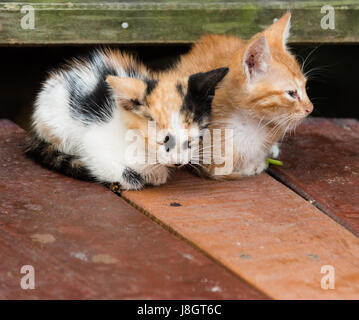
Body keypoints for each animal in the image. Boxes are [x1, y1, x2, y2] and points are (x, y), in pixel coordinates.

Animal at [26, 48, 228, 189]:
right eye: (164, 140)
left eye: (193, 140)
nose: (178, 162)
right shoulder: (93, 141)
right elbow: (101, 161)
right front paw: (135, 178)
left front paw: (156, 173)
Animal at [176, 13, 314, 180]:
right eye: (291, 93)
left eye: (305, 87)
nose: (310, 108)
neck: (250, 123)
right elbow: (218, 170)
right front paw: (250, 166)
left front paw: (258, 161)